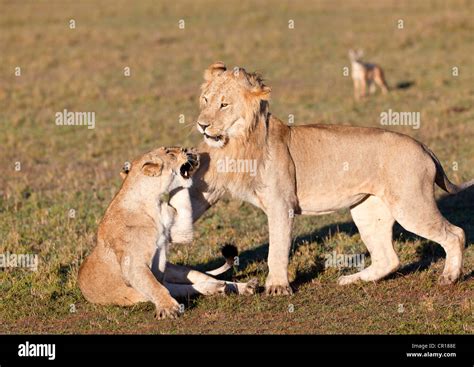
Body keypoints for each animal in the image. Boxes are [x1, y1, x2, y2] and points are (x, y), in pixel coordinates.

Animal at [78, 147, 256, 320]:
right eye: (169, 152)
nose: (186, 149)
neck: (153, 203)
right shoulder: (134, 266)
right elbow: (156, 288)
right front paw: (169, 308)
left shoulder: (177, 233)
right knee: (185, 288)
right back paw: (218, 288)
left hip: (176, 271)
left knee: (203, 279)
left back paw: (244, 286)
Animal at [168, 61, 472, 296]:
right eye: (205, 100)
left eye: (224, 104)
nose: (202, 125)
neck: (239, 141)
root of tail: (423, 147)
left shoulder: (281, 205)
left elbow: (277, 248)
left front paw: (277, 287)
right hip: (367, 209)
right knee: (389, 259)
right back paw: (349, 279)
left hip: (410, 205)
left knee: (455, 233)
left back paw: (449, 277)